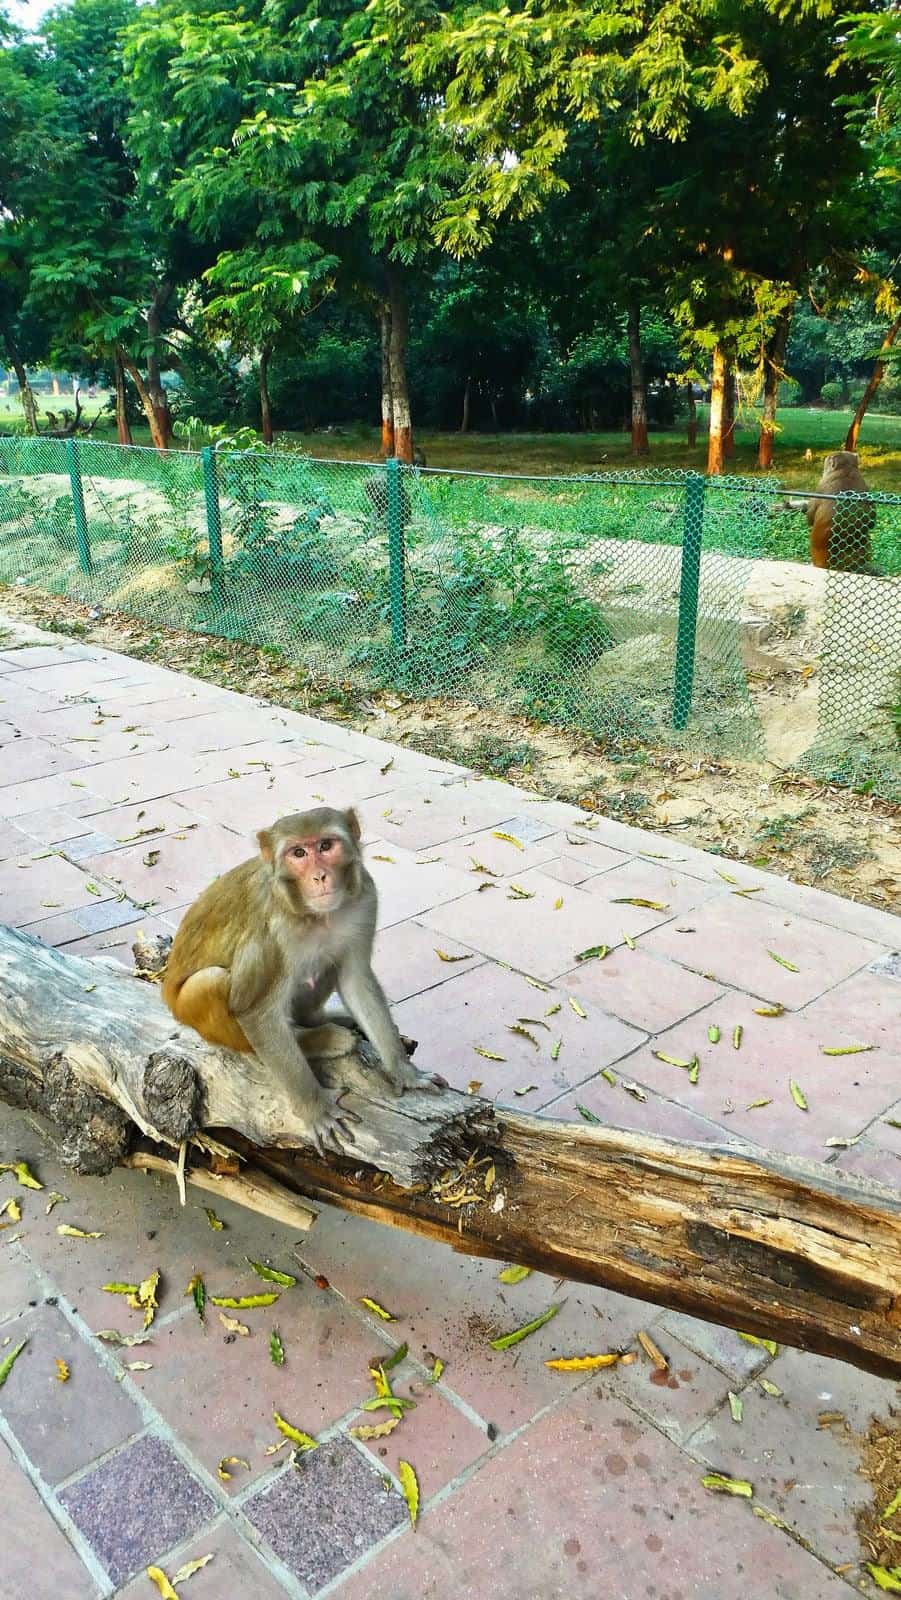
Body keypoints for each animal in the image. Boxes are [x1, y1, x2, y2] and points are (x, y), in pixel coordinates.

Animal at [162, 812, 432, 1152]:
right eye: (298, 853)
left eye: (326, 845)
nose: (320, 876)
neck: (315, 915)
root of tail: (165, 990)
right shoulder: (270, 930)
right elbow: (254, 1012)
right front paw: (316, 1109)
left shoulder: (365, 898)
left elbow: (356, 978)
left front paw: (405, 1072)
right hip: (188, 1007)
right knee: (213, 982)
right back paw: (319, 1040)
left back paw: (318, 1020)